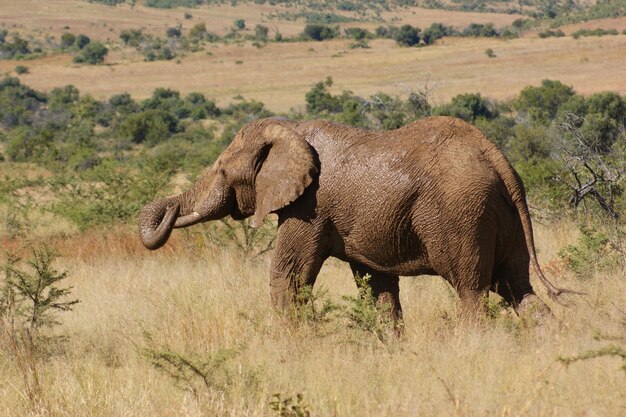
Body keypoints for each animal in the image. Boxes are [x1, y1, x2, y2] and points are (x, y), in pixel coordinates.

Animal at [139, 115, 568, 320]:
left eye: (223, 169)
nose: (170, 209)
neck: (290, 128)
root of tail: (498, 160)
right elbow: (377, 287)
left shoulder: (309, 207)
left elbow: (289, 276)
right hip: (501, 214)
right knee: (517, 289)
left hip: (462, 214)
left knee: (473, 293)